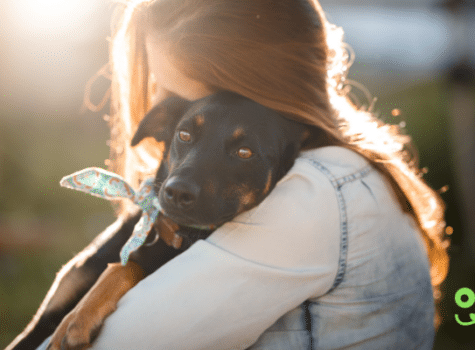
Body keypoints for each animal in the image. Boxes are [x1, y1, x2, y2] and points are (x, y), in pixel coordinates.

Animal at [7, 91, 316, 348]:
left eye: (245, 152)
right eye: (184, 135)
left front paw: (77, 319)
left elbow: (125, 267)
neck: (169, 235)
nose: (177, 192)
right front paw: (79, 315)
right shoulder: (38, 323)